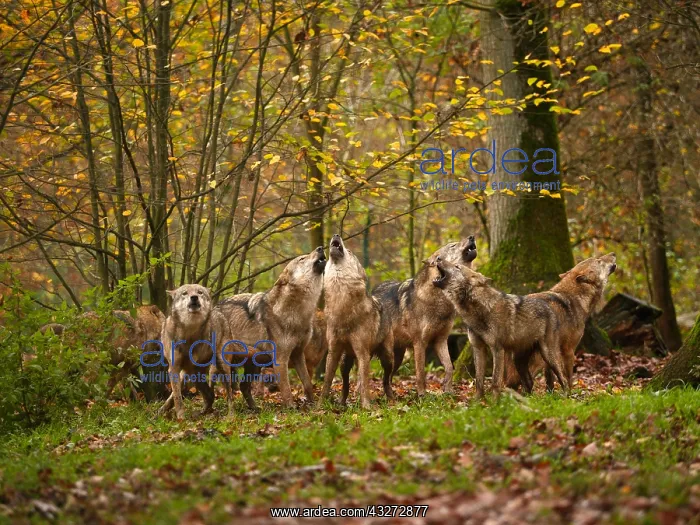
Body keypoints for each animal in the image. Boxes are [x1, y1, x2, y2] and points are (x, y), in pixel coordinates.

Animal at [215, 246, 327, 409]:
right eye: (302, 259)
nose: (320, 248)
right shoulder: (280, 359)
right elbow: (286, 388)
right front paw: (291, 408)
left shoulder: (298, 355)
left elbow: (307, 384)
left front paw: (311, 405)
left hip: (252, 363)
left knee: (243, 386)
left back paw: (255, 408)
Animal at [319, 235, 394, 409]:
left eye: (350, 252)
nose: (336, 235)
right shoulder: (333, 352)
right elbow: (327, 382)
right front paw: (319, 405)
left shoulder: (362, 353)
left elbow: (364, 383)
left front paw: (366, 406)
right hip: (345, 362)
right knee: (346, 384)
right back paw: (342, 402)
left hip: (387, 358)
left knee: (386, 379)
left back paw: (391, 397)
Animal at [371, 236, 477, 395]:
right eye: (453, 245)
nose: (472, 237)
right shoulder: (419, 343)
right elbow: (420, 373)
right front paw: (422, 394)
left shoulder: (441, 341)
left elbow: (449, 368)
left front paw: (448, 391)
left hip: (397, 357)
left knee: (387, 378)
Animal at [433, 259, 569, 398]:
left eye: (457, 266)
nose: (438, 258)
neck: (477, 309)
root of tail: (549, 307)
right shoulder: (478, 348)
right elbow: (479, 380)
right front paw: (477, 400)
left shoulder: (497, 349)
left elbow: (495, 380)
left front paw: (494, 401)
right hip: (518, 361)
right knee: (529, 382)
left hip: (548, 355)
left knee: (563, 378)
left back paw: (566, 397)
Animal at [504, 253, 618, 391]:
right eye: (599, 261)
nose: (613, 253)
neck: (575, 298)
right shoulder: (568, 350)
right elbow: (568, 378)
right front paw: (569, 394)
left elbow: (549, 379)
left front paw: (550, 394)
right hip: (547, 354)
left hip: (526, 358)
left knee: (524, 382)